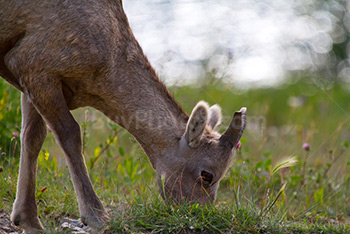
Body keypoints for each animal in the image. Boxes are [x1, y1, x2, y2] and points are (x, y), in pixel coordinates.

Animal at [0, 0, 246, 232]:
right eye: (207, 175)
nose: (199, 213)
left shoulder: (32, 80)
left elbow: (32, 138)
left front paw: (28, 221)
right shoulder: (36, 70)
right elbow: (70, 136)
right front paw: (97, 217)